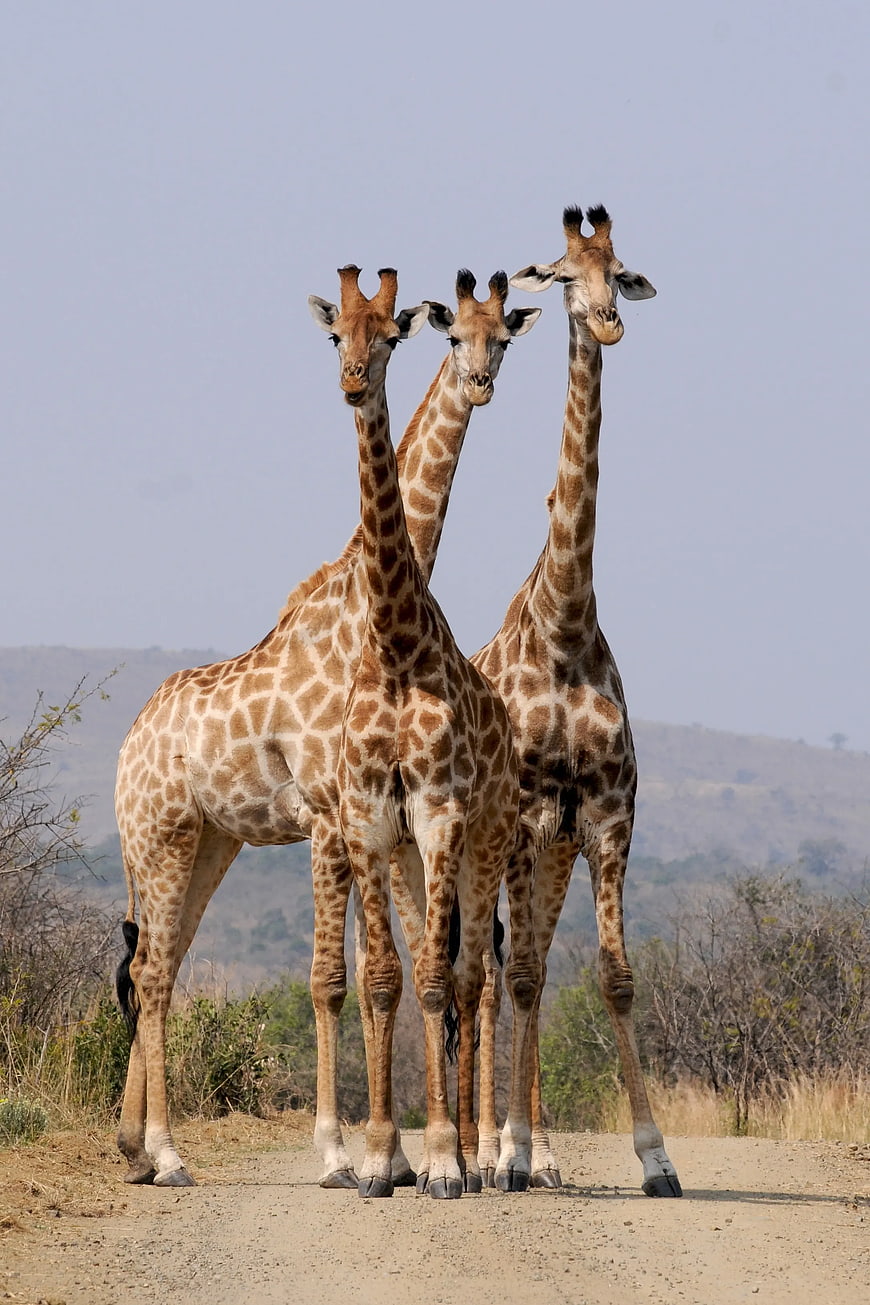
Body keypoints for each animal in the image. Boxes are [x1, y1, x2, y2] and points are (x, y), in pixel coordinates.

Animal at [113, 266, 540, 1189]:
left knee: (159, 962)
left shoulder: (377, 819)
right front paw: (345, 1153)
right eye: (337, 335)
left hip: (208, 840)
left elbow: (395, 968)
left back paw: (135, 1144)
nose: (480, 384)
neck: (367, 611)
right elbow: (331, 979)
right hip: (159, 836)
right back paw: (166, 1152)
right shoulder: (327, 813)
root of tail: (127, 746)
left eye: (502, 339)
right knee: (153, 970)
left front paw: (403, 1157)